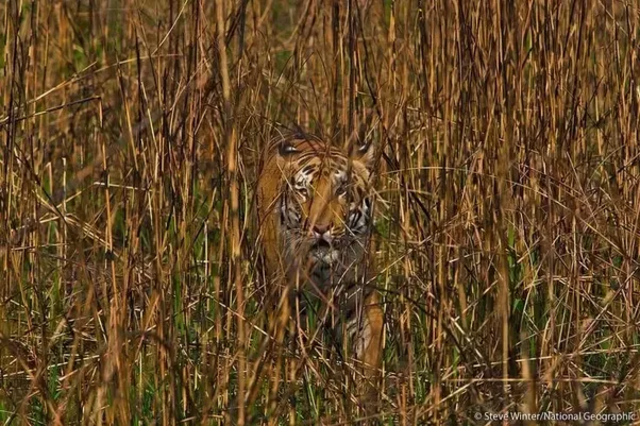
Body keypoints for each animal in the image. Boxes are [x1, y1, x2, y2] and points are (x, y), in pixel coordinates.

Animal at [255, 131, 384, 377]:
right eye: (304, 192)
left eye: (341, 190)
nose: (320, 228)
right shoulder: (291, 304)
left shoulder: (361, 299)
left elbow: (370, 348)